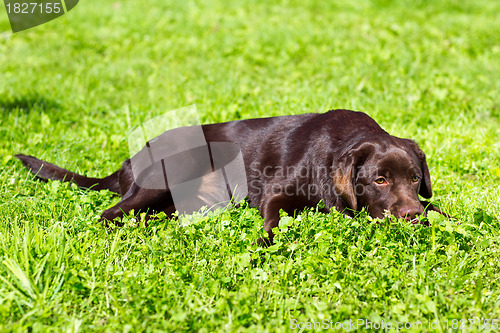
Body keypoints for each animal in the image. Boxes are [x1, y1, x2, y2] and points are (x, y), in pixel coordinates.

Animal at [16, 109, 446, 244]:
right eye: (379, 180)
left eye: (414, 178)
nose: (411, 216)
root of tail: (129, 160)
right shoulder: (274, 194)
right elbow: (272, 222)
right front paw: (263, 245)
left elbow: (439, 207)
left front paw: (437, 215)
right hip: (169, 173)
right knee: (109, 214)